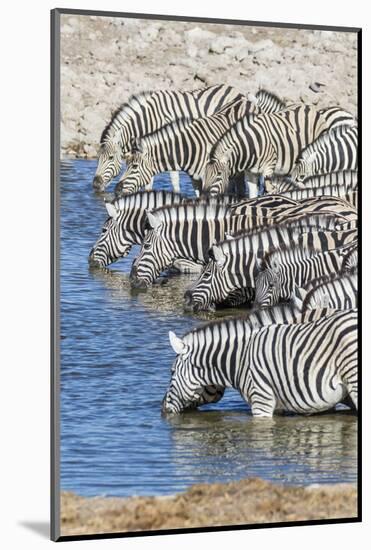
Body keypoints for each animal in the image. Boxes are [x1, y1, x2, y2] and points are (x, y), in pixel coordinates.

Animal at [92, 84, 247, 192]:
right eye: (98, 157)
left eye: (111, 157)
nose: (95, 185)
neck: (149, 119)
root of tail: (233, 89)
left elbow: (173, 178)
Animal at [203, 104, 358, 197]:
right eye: (205, 174)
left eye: (218, 174)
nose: (204, 197)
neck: (251, 147)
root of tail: (309, 106)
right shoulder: (251, 173)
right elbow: (252, 194)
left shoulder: (268, 169)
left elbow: (268, 189)